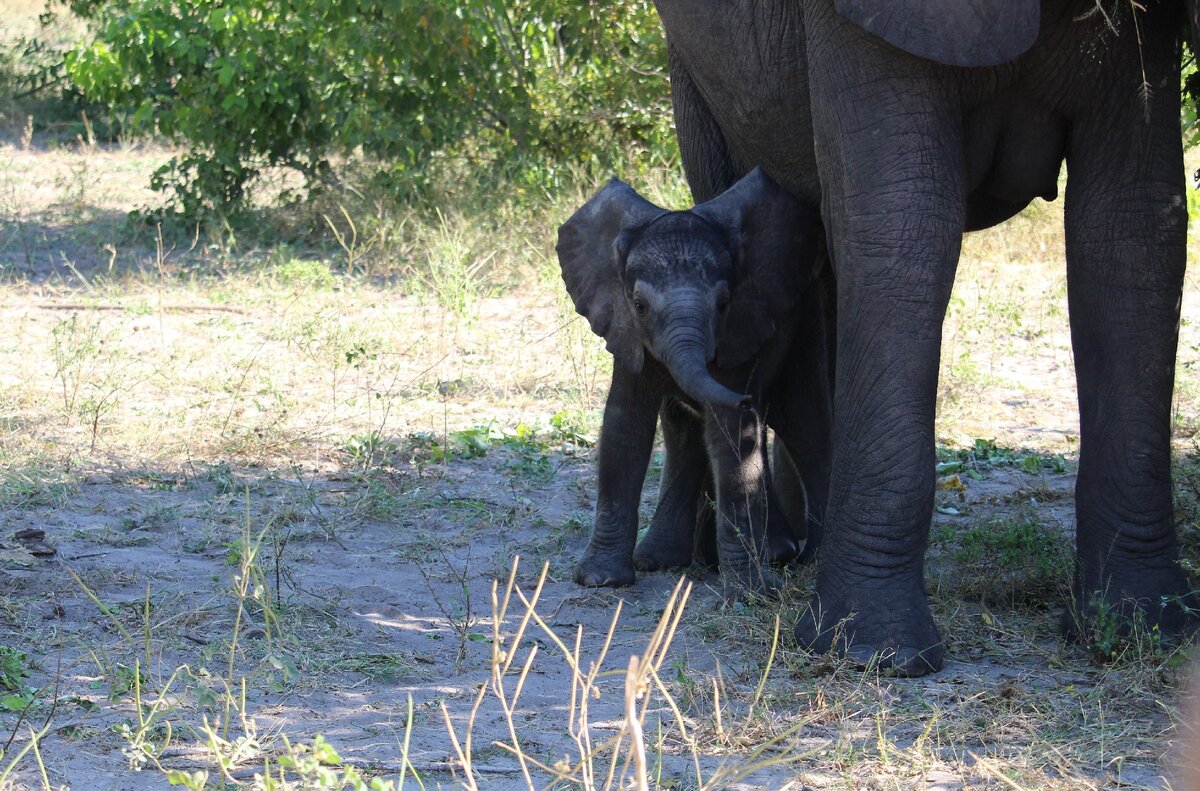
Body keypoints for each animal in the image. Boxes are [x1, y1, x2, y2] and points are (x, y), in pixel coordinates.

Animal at [554, 169, 825, 600]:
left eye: (723, 305)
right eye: (640, 305)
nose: (745, 398)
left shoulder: (738, 331)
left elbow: (730, 437)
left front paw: (750, 592)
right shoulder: (626, 331)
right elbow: (623, 428)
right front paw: (601, 580)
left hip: (803, 323)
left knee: (804, 424)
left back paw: (798, 557)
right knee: (683, 434)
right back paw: (661, 559)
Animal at [657, 0, 1200, 676]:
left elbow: (1133, 229)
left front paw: (1143, 629)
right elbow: (903, 225)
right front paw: (875, 656)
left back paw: (801, 552)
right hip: (692, 70)